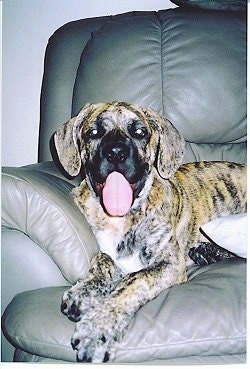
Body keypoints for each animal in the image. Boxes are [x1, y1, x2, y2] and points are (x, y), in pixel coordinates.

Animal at [53, 101, 247, 362]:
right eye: (93, 132)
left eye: (139, 132)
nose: (116, 152)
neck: (122, 217)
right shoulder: (109, 252)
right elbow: (103, 258)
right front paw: (84, 293)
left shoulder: (168, 264)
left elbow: (135, 280)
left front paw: (98, 329)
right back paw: (207, 252)